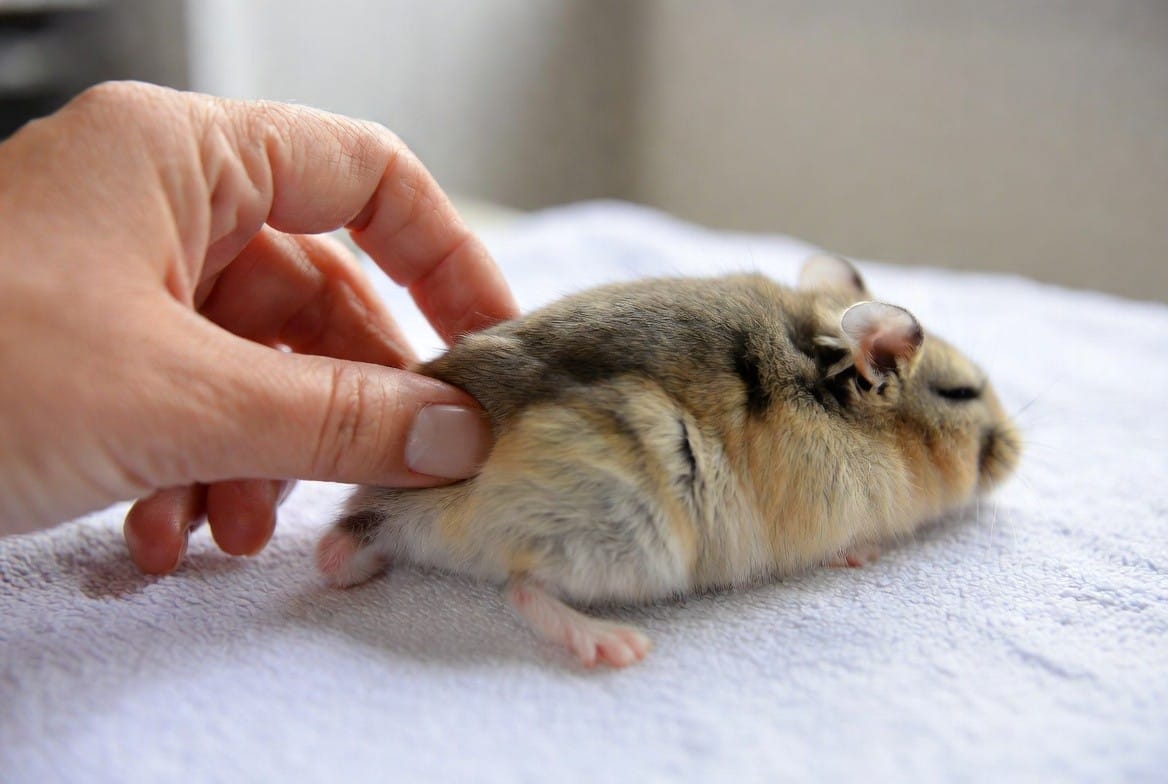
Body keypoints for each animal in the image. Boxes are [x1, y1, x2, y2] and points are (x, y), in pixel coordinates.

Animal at [316, 255, 1021, 667]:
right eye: (962, 394)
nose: (1018, 452)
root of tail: (404, 508)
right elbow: (847, 544)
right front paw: (865, 554)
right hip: (627, 521)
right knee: (522, 588)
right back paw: (616, 646)